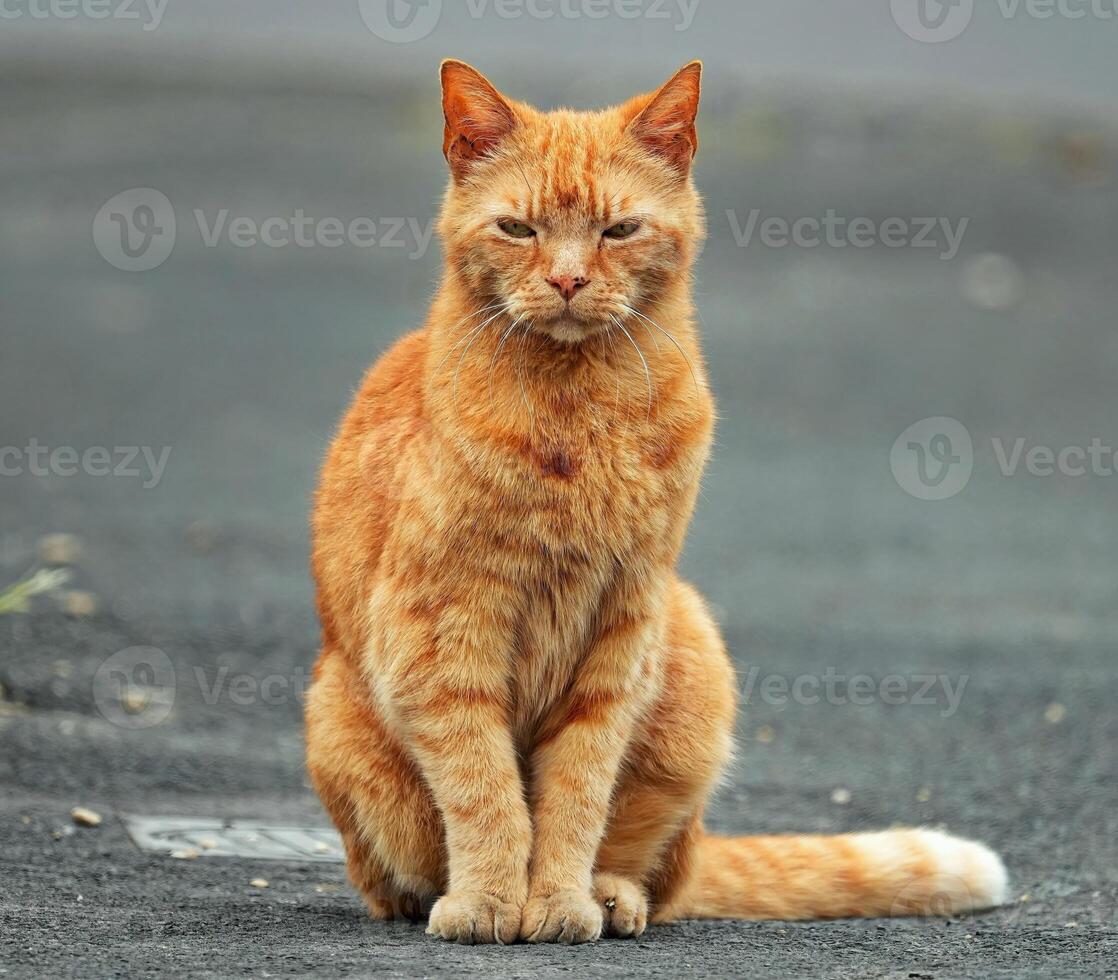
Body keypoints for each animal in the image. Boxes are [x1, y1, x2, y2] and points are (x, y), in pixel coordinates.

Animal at [304, 59, 1006, 938]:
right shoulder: (441, 635)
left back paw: (611, 895)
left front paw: (558, 901)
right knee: (401, 875)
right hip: (340, 720)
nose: (568, 278)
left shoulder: (620, 631)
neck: (578, 416)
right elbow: (485, 787)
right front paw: (491, 902)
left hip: (689, 654)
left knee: (658, 869)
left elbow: (576, 793)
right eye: (519, 230)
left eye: (618, 231)